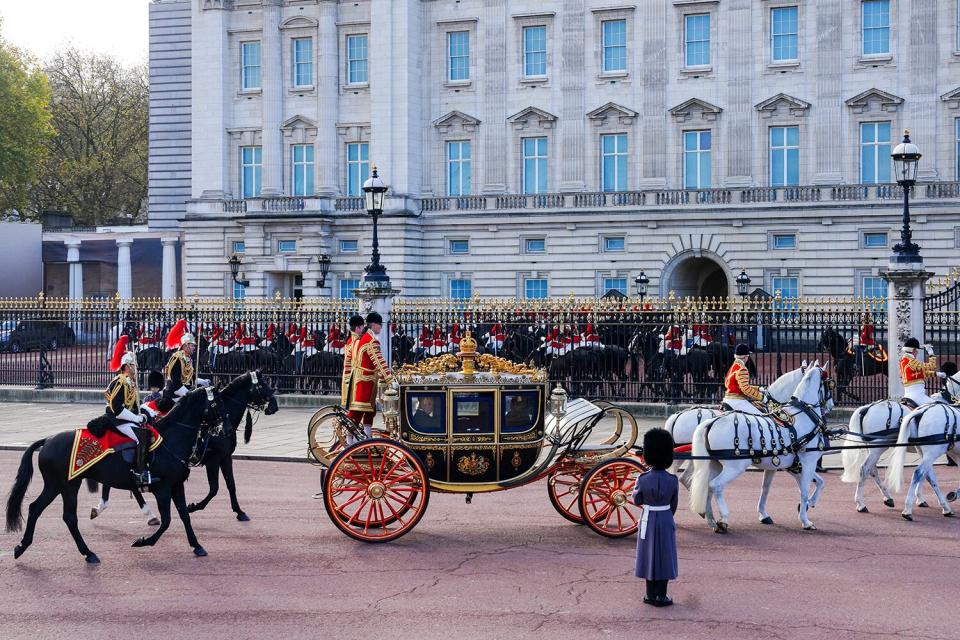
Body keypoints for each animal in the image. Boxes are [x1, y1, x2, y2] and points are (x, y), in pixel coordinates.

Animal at [7, 388, 221, 564]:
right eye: (216, 402)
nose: (221, 428)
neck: (171, 440)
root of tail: (48, 440)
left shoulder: (177, 485)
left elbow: (184, 515)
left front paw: (197, 546)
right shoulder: (163, 488)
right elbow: (167, 520)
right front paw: (143, 541)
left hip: (56, 485)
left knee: (36, 509)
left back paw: (22, 547)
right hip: (67, 486)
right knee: (68, 517)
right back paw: (88, 553)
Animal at [688, 362, 832, 532]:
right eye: (830, 383)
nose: (831, 406)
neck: (803, 414)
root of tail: (712, 422)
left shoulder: (790, 465)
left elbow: (771, 488)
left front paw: (806, 505)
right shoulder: (807, 462)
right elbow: (803, 491)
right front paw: (805, 520)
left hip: (715, 464)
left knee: (707, 487)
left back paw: (711, 520)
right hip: (735, 466)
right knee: (715, 485)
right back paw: (723, 518)